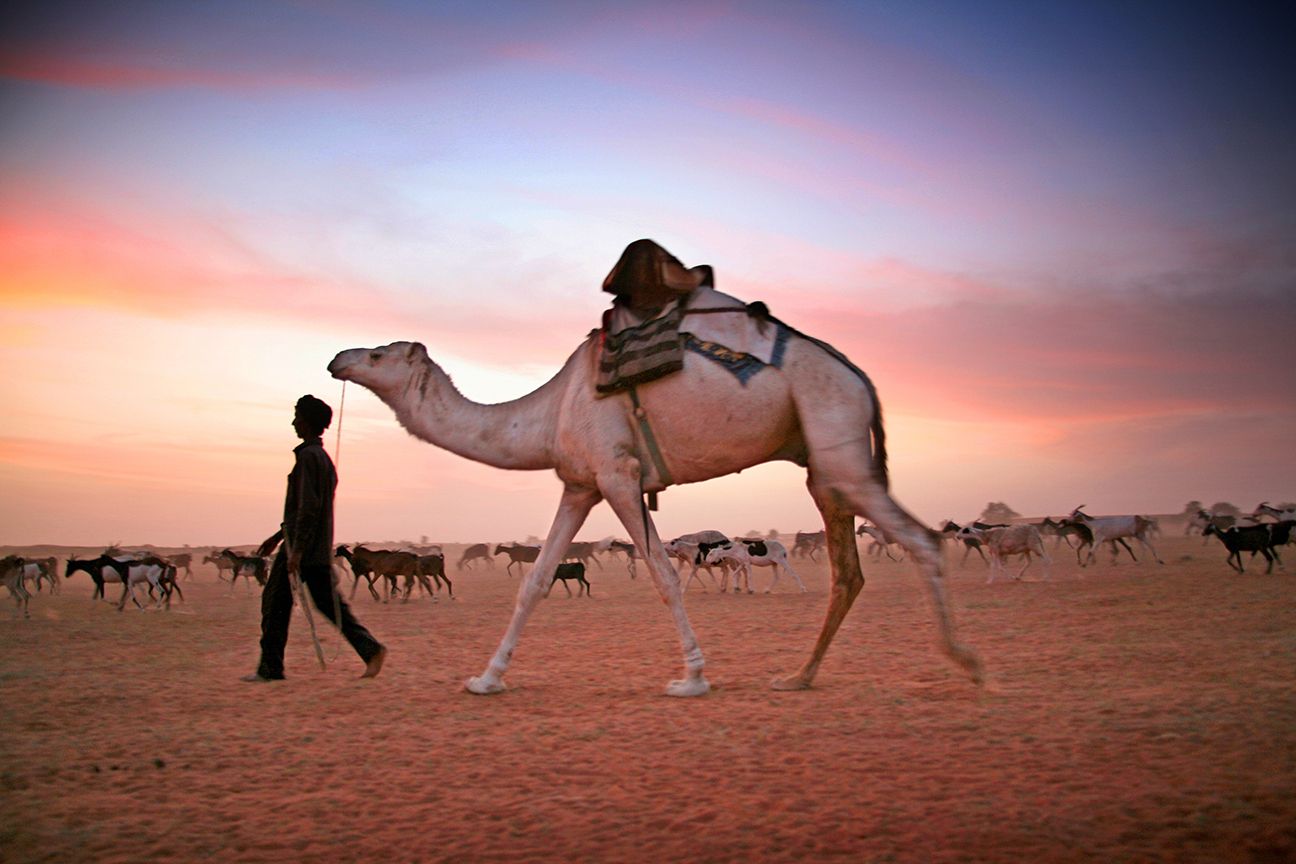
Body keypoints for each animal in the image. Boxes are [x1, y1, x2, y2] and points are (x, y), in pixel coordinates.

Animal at [328, 275, 981, 697]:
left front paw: (691, 677)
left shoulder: (619, 475)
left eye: (380, 353)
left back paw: (969, 664)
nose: (338, 358)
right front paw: (486, 679)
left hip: (839, 441)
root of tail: (862, 377)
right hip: (821, 466)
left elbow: (665, 576)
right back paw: (799, 677)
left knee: (923, 540)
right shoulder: (579, 483)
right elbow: (534, 582)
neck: (550, 410)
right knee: (848, 571)